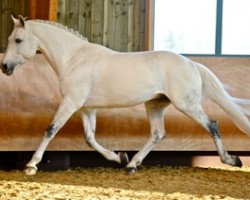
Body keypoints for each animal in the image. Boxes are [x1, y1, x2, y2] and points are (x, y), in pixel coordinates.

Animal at [1, 15, 250, 175]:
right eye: (10, 40)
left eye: (18, 40)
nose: (4, 66)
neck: (75, 59)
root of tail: (191, 63)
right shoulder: (86, 108)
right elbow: (90, 139)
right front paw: (119, 157)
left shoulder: (71, 103)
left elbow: (51, 129)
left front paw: (31, 165)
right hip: (155, 105)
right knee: (158, 134)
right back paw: (132, 165)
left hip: (186, 105)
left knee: (212, 125)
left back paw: (231, 160)